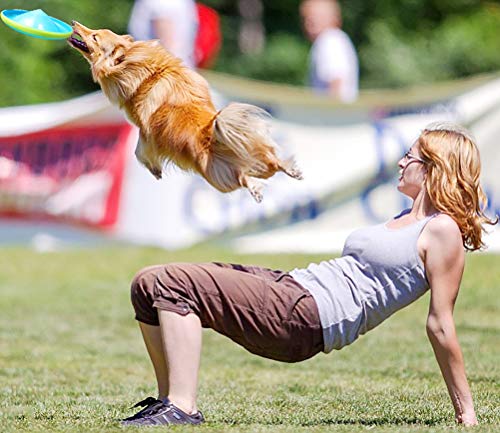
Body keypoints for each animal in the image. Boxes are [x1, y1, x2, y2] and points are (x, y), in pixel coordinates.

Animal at [66, 22, 300, 201]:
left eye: (95, 36)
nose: (74, 23)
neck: (148, 73)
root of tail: (213, 134)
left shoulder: (146, 132)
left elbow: (139, 151)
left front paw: (155, 170)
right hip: (259, 159)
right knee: (273, 164)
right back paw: (293, 172)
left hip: (218, 178)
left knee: (241, 179)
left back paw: (255, 190)